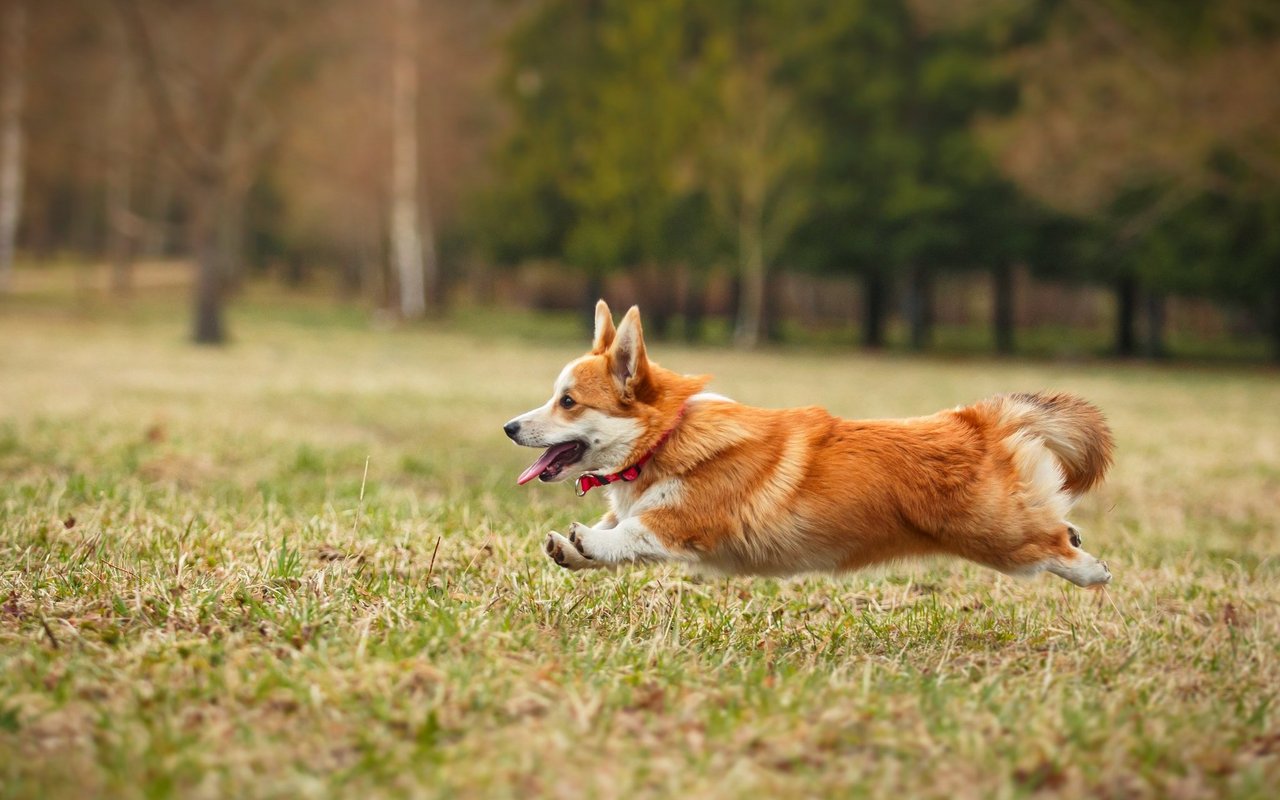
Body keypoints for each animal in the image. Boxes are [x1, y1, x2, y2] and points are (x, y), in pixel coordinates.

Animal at [504, 299, 1116, 586]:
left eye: (568, 402)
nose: (509, 427)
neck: (664, 439)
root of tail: (975, 419)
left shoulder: (687, 522)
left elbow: (631, 532)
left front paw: (588, 540)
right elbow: (612, 537)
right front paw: (571, 548)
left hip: (996, 535)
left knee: (1050, 541)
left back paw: (1093, 570)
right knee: (1057, 525)